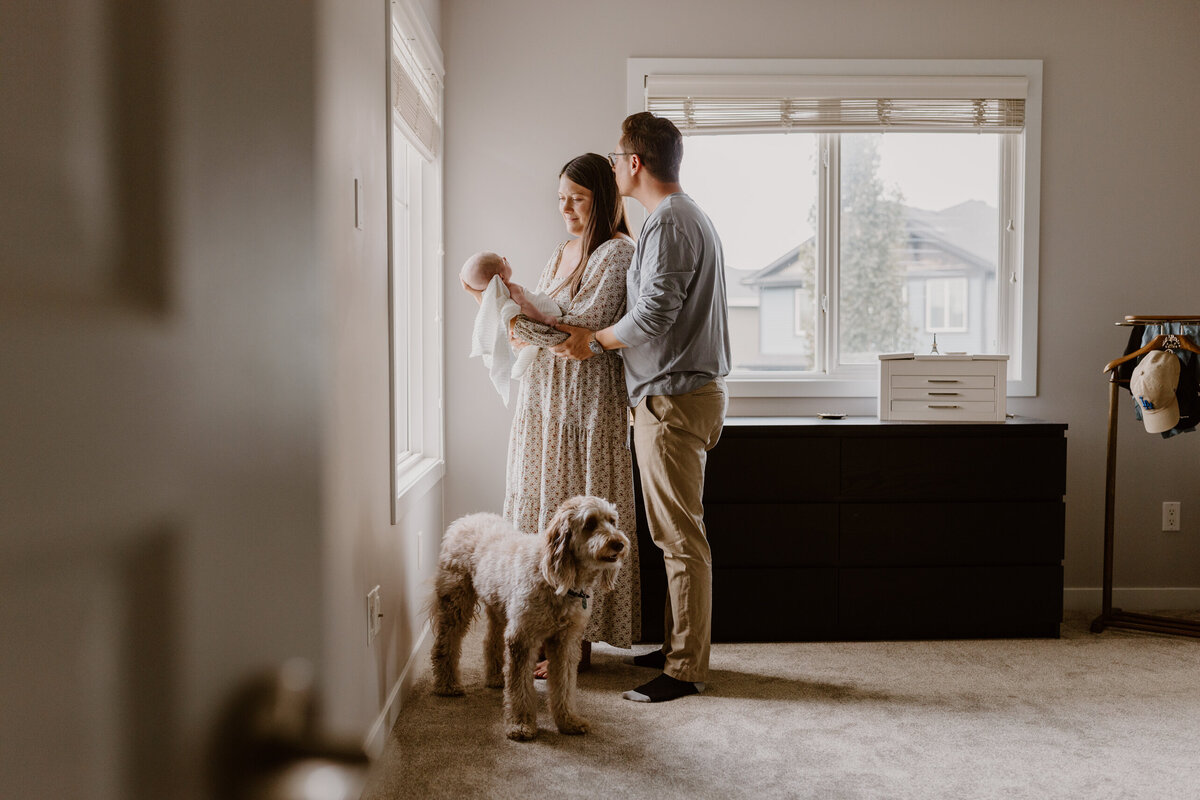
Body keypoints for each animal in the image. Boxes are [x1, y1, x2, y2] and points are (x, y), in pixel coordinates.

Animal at [429, 496, 628, 743]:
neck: (558, 579)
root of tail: (465, 519)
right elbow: (520, 687)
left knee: (490, 641)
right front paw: (521, 724)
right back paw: (446, 685)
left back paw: (496, 677)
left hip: (500, 608)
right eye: (590, 523)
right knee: (446, 642)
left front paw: (568, 720)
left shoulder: (565, 642)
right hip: (456, 602)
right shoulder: (522, 638)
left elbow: (564, 684)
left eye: (612, 521)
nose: (619, 544)